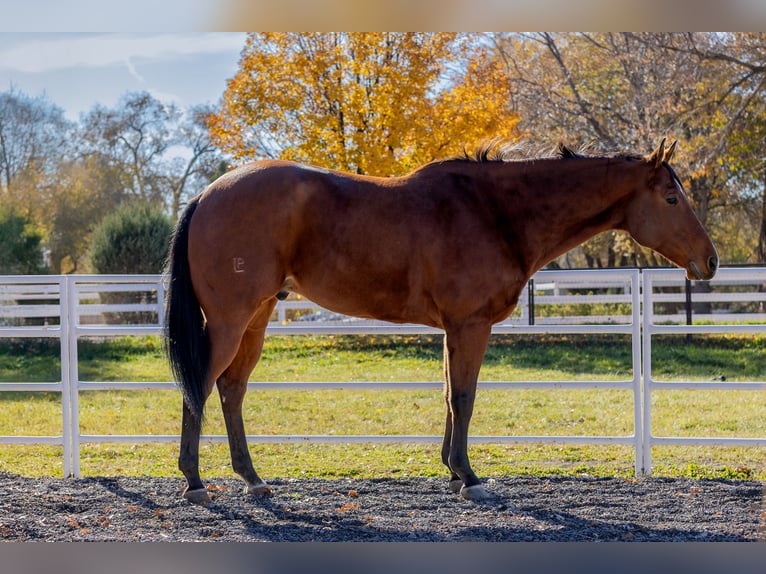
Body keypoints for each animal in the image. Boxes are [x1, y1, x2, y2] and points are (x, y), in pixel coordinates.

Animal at [164, 138, 718, 505]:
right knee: (200, 386)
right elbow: (464, 398)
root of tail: (206, 194)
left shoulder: (454, 330)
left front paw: (452, 471)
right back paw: (195, 482)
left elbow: (451, 395)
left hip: (255, 320)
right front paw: (469, 477)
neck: (495, 212)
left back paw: (252, 478)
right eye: (672, 198)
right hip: (231, 321)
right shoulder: (470, 326)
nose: (709, 261)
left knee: (232, 389)